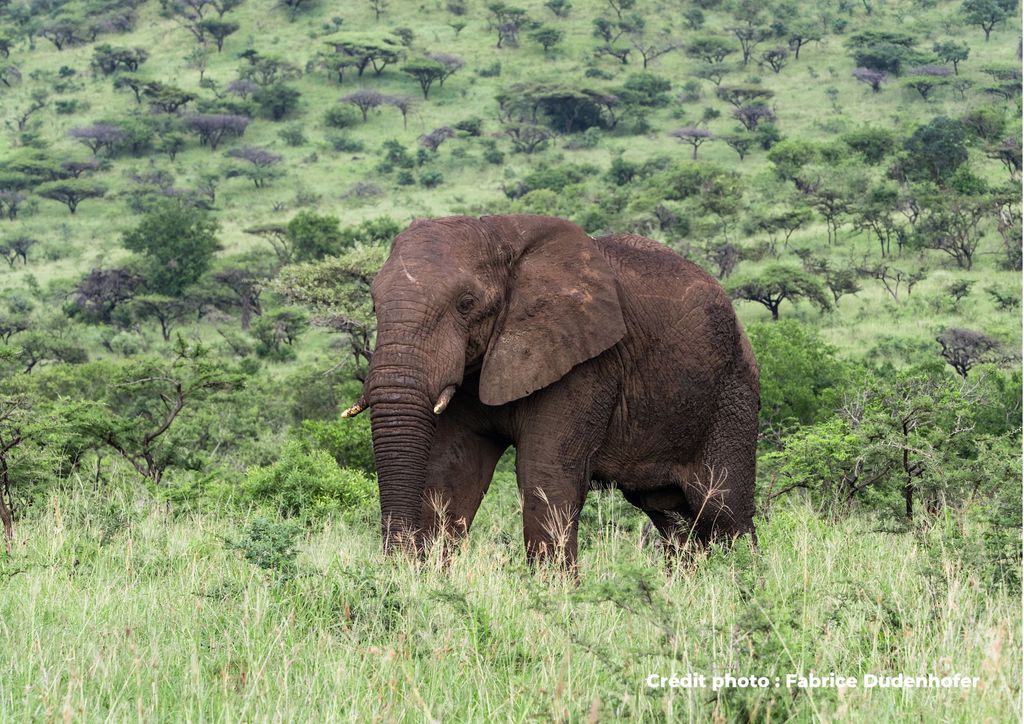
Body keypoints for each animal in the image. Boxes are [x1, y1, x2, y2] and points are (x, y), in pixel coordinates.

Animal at [343, 214, 759, 570]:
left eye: (466, 304)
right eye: (374, 305)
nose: (398, 561)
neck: (500, 234)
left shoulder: (586, 360)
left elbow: (545, 475)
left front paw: (555, 597)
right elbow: (451, 473)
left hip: (732, 394)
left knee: (724, 509)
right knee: (673, 518)